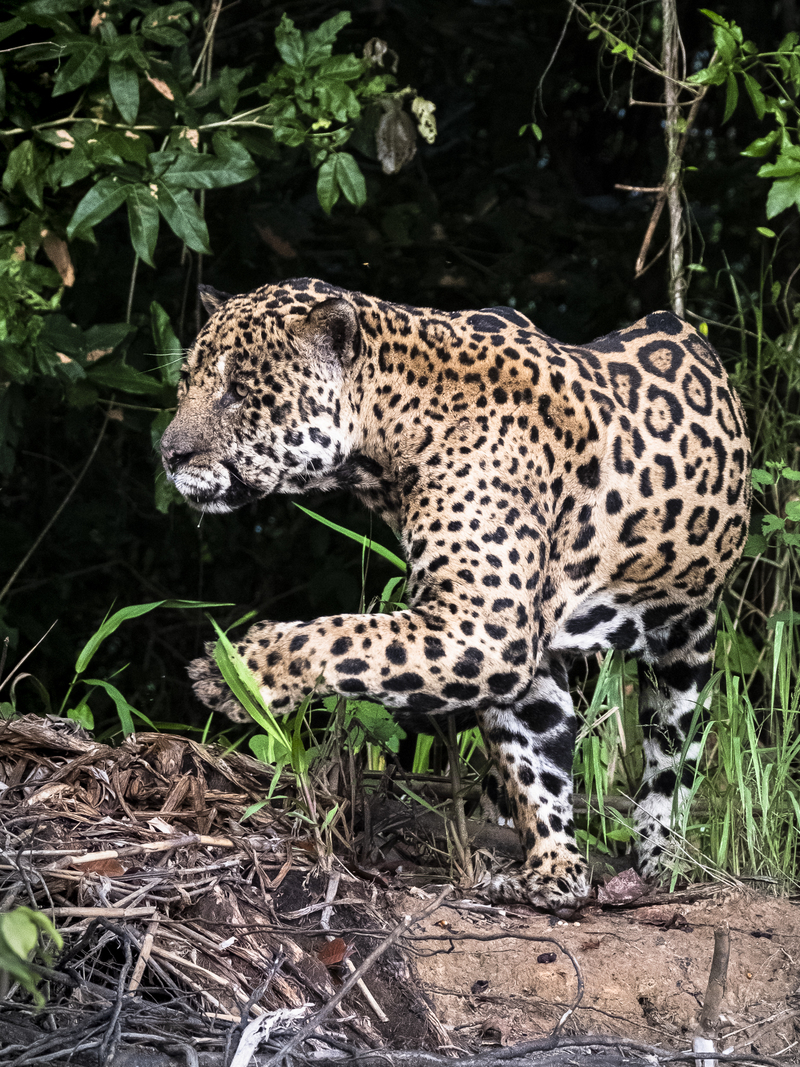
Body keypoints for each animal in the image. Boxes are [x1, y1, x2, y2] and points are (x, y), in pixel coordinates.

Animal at [160, 277, 751, 912]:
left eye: (239, 393)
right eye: (186, 383)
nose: (168, 454)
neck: (389, 437)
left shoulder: (485, 624)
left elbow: (346, 638)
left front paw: (236, 671)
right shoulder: (511, 647)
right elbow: (534, 760)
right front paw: (552, 869)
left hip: (685, 647)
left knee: (672, 761)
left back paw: (662, 862)